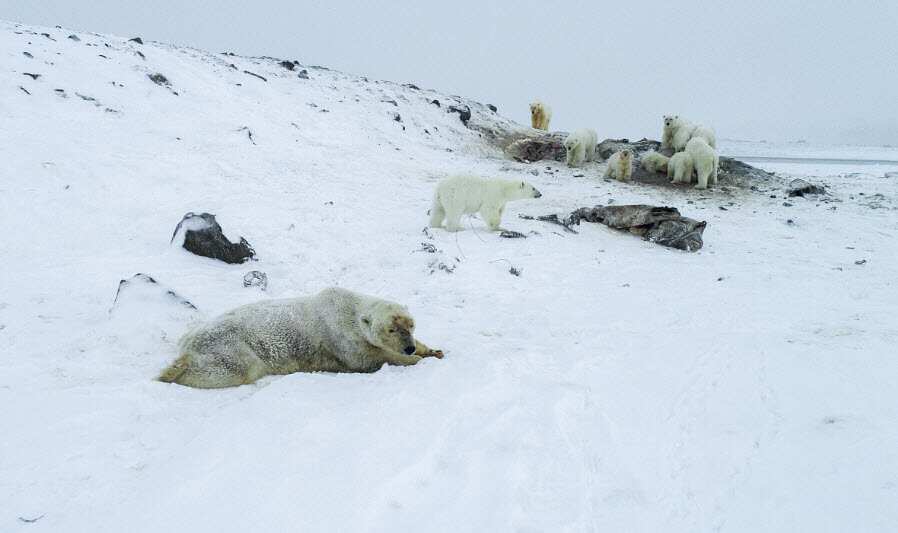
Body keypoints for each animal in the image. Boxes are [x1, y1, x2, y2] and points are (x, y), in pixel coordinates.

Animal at [157, 287, 444, 388]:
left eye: (411, 324)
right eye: (391, 329)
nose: (408, 348)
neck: (349, 308)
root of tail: (187, 341)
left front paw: (432, 350)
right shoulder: (342, 338)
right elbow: (370, 359)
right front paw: (414, 360)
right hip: (230, 346)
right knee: (232, 369)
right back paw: (172, 371)